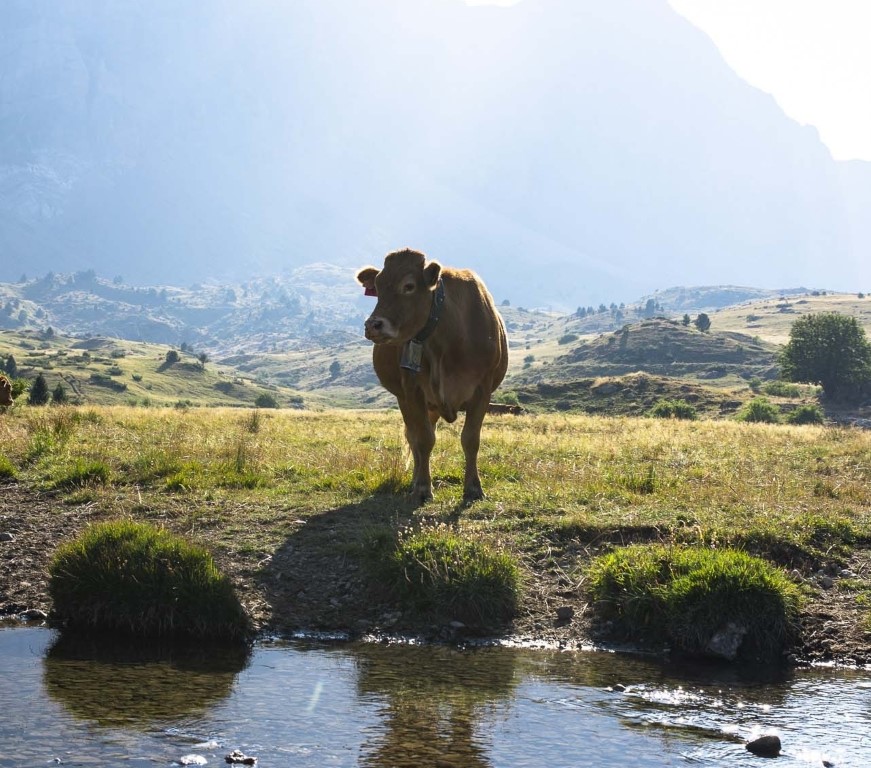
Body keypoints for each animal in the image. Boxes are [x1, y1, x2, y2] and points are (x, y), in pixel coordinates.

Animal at [357, 248, 508, 502]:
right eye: (377, 286)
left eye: (408, 286)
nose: (373, 325)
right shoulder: (412, 390)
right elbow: (424, 440)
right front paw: (422, 487)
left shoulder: (482, 389)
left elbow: (471, 439)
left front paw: (473, 487)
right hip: (407, 400)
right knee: (414, 437)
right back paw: (415, 480)